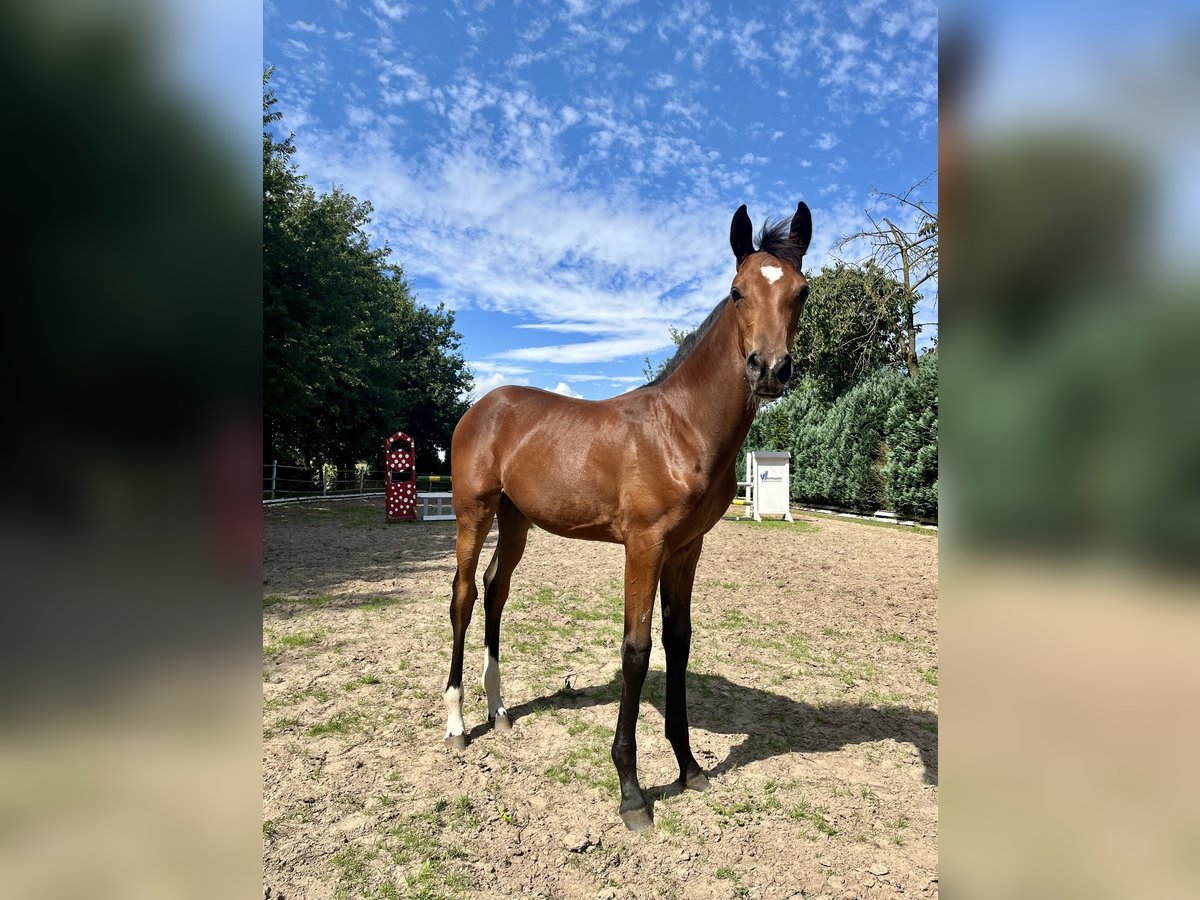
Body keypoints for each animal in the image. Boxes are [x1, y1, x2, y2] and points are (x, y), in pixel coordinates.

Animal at [444, 200, 816, 835]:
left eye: (802, 292)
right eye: (737, 291)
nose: (768, 368)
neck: (680, 428)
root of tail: (482, 406)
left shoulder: (687, 548)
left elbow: (679, 641)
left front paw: (689, 766)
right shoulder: (644, 545)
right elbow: (637, 651)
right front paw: (631, 792)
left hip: (516, 520)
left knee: (496, 589)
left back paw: (499, 711)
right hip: (473, 511)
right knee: (465, 595)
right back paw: (456, 723)